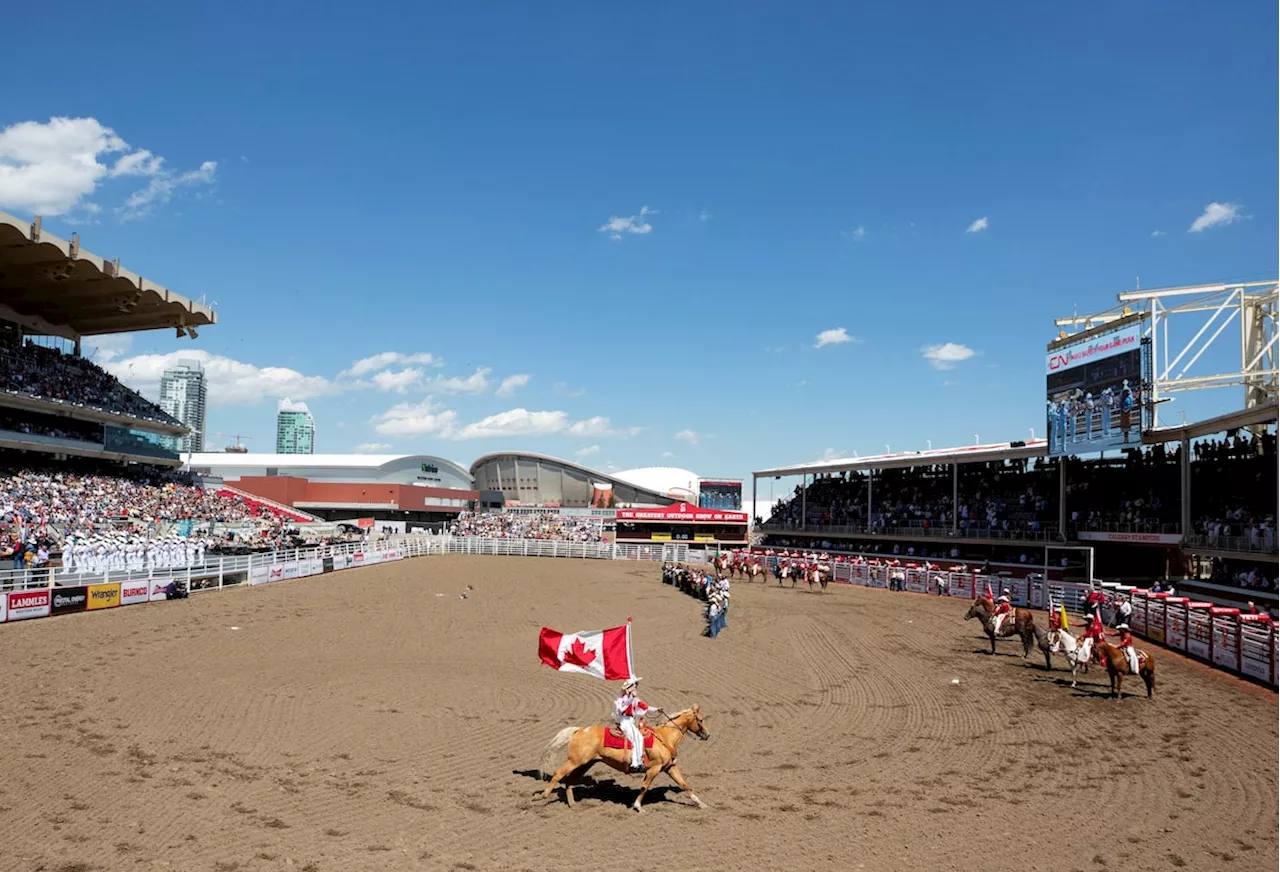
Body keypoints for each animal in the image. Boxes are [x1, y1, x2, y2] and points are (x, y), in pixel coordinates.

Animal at [532, 701, 711, 814]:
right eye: (701, 720)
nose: (707, 735)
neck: (664, 737)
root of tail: (580, 730)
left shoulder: (670, 767)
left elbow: (685, 785)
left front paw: (702, 804)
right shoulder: (654, 769)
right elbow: (644, 787)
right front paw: (638, 807)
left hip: (585, 764)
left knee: (569, 780)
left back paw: (572, 804)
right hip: (575, 761)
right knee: (558, 775)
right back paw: (542, 796)